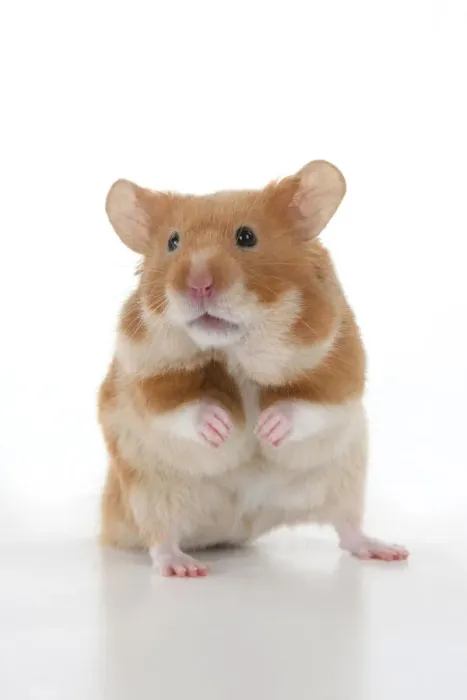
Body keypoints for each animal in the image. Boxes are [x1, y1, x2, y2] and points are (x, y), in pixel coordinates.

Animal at [98, 160, 408, 577]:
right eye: (173, 242)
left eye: (246, 237)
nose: (198, 284)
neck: (235, 349)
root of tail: (233, 528)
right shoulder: (143, 372)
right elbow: (175, 406)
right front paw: (223, 427)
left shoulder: (340, 362)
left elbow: (312, 403)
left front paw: (265, 428)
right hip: (148, 494)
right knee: (161, 540)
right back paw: (184, 567)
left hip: (344, 479)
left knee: (348, 530)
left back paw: (388, 551)